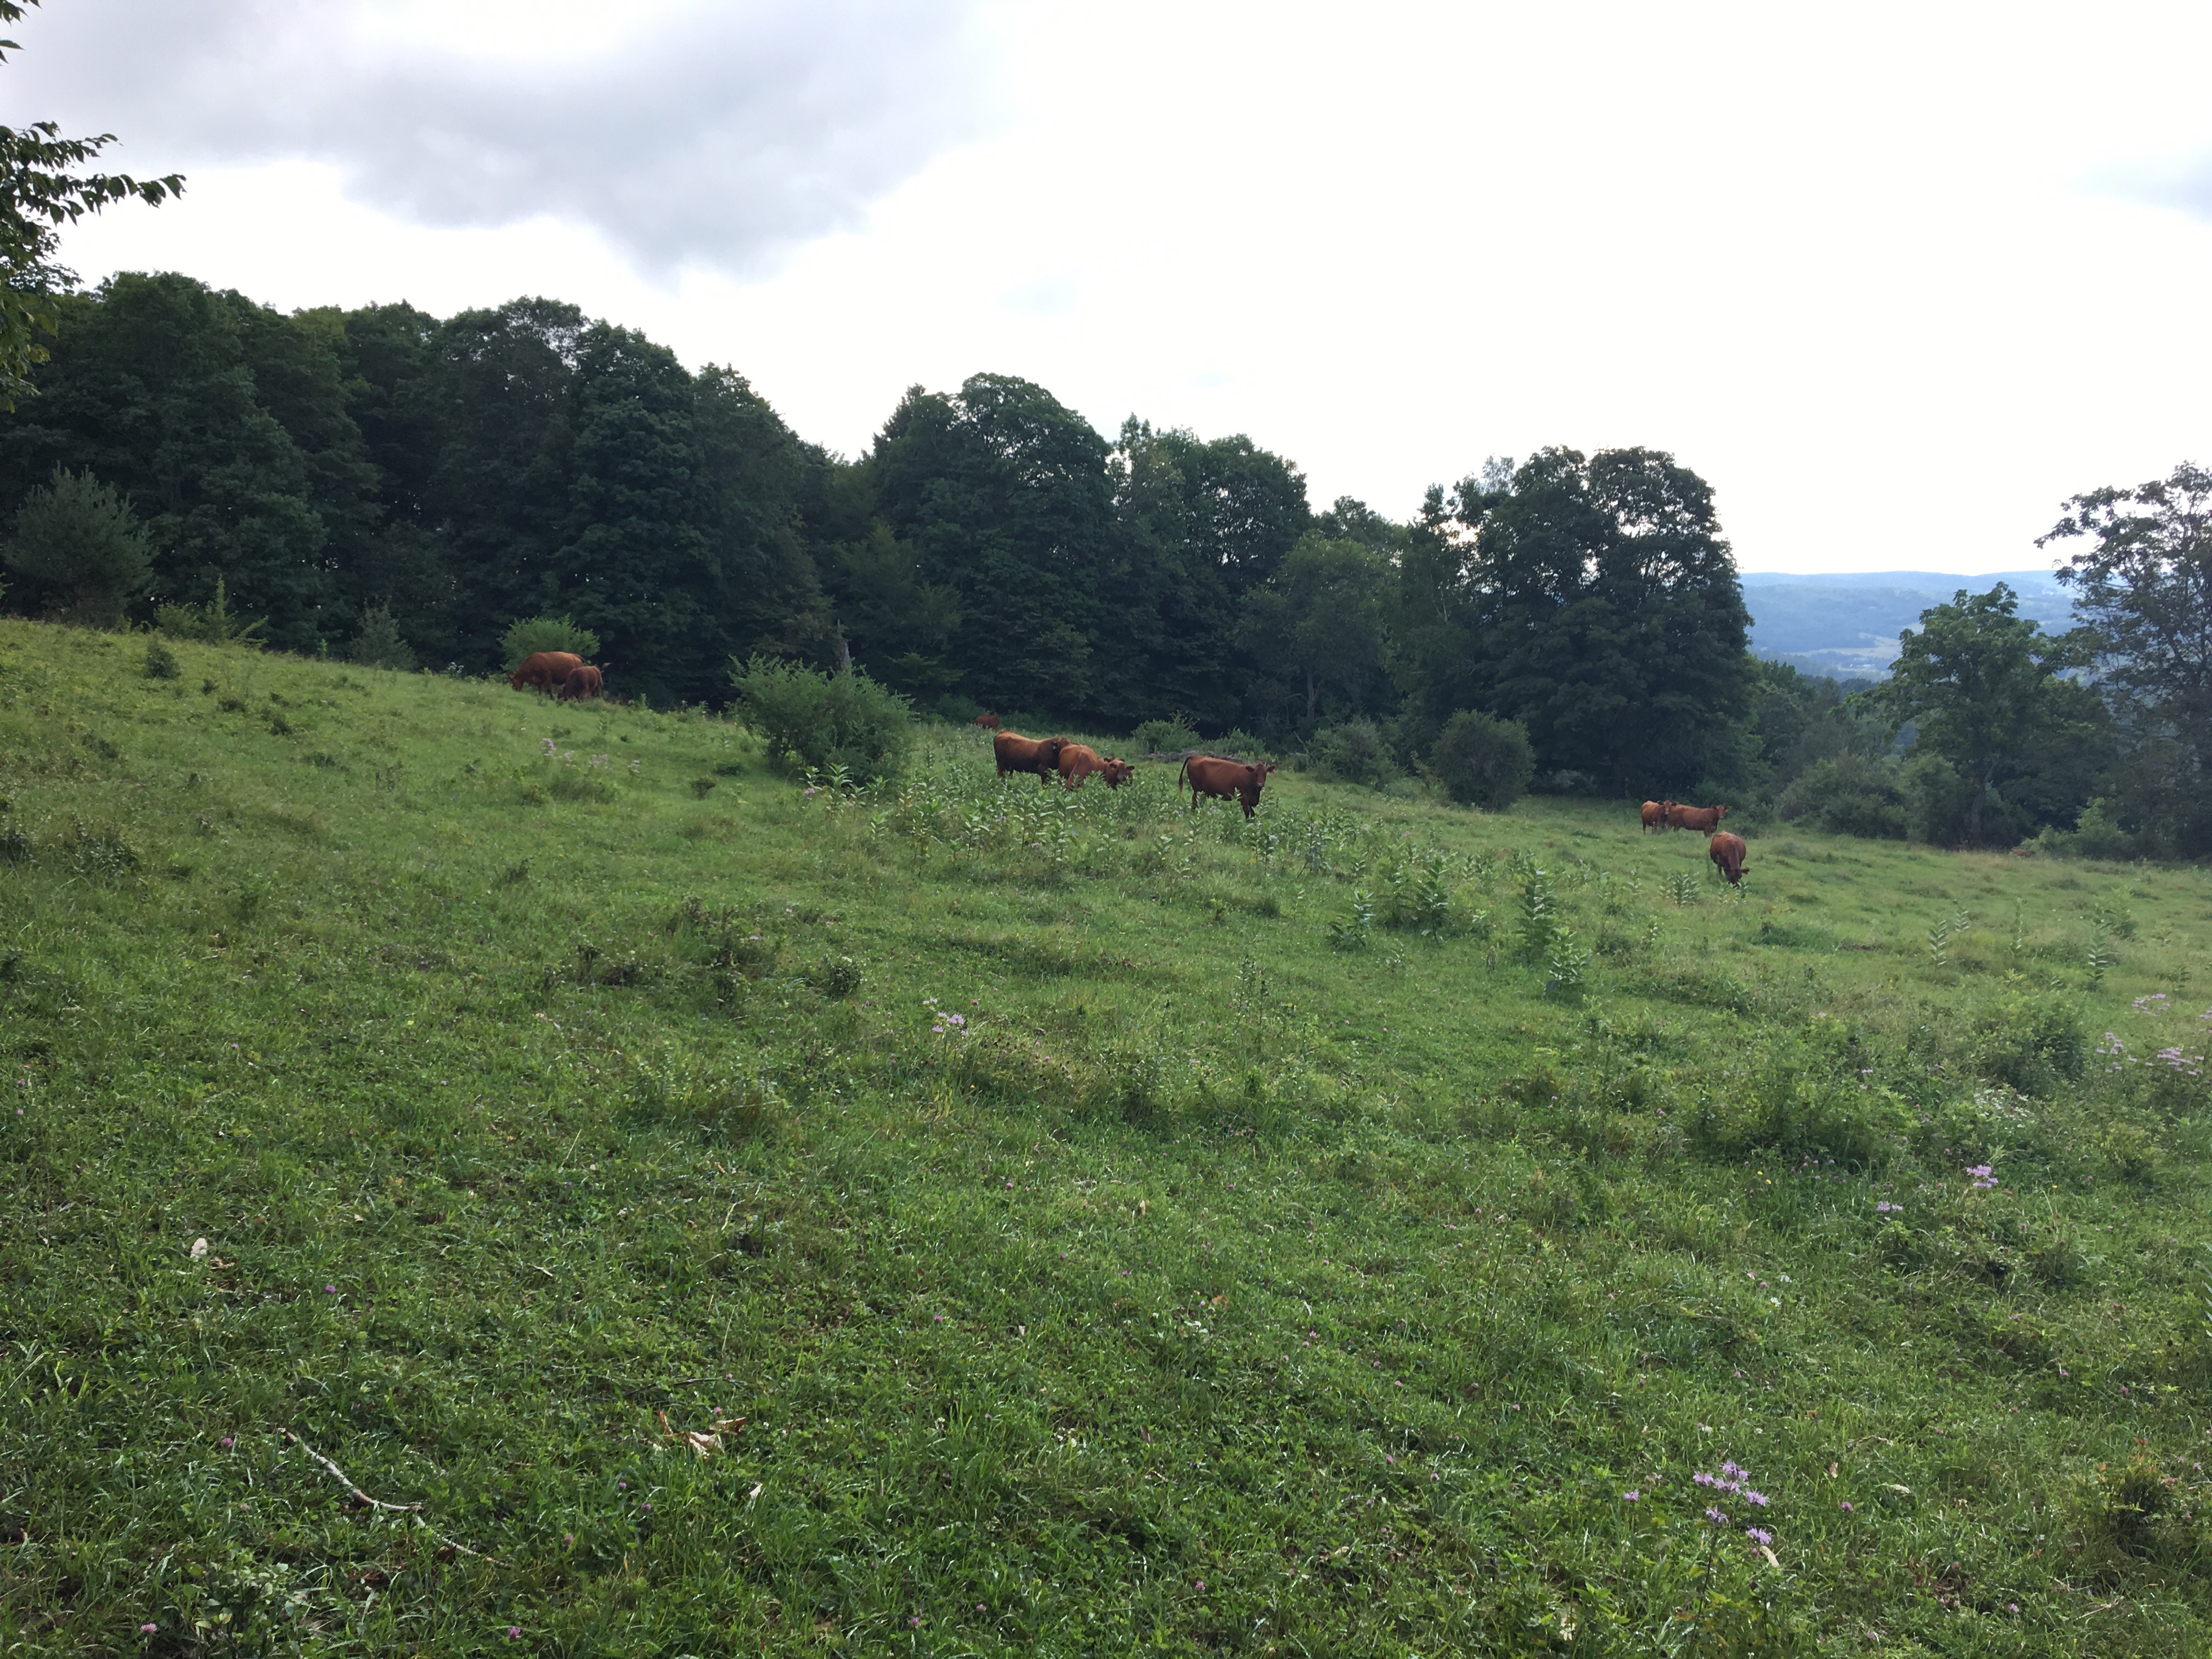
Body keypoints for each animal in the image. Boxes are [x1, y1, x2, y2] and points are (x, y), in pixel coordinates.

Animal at [510, 651, 583, 694]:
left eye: (515, 683)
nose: (515, 690)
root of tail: (576, 657)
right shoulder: (540, 680)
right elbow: (540, 688)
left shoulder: (548, 676)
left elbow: (549, 689)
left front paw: (553, 699)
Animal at [1180, 753, 1274, 818]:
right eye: (1256, 774)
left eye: (1265, 774)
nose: (1260, 784)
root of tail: (1196, 757)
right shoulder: (1244, 798)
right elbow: (1247, 813)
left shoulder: (1251, 800)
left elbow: (1253, 814)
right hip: (1197, 789)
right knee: (1194, 801)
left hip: (1204, 792)